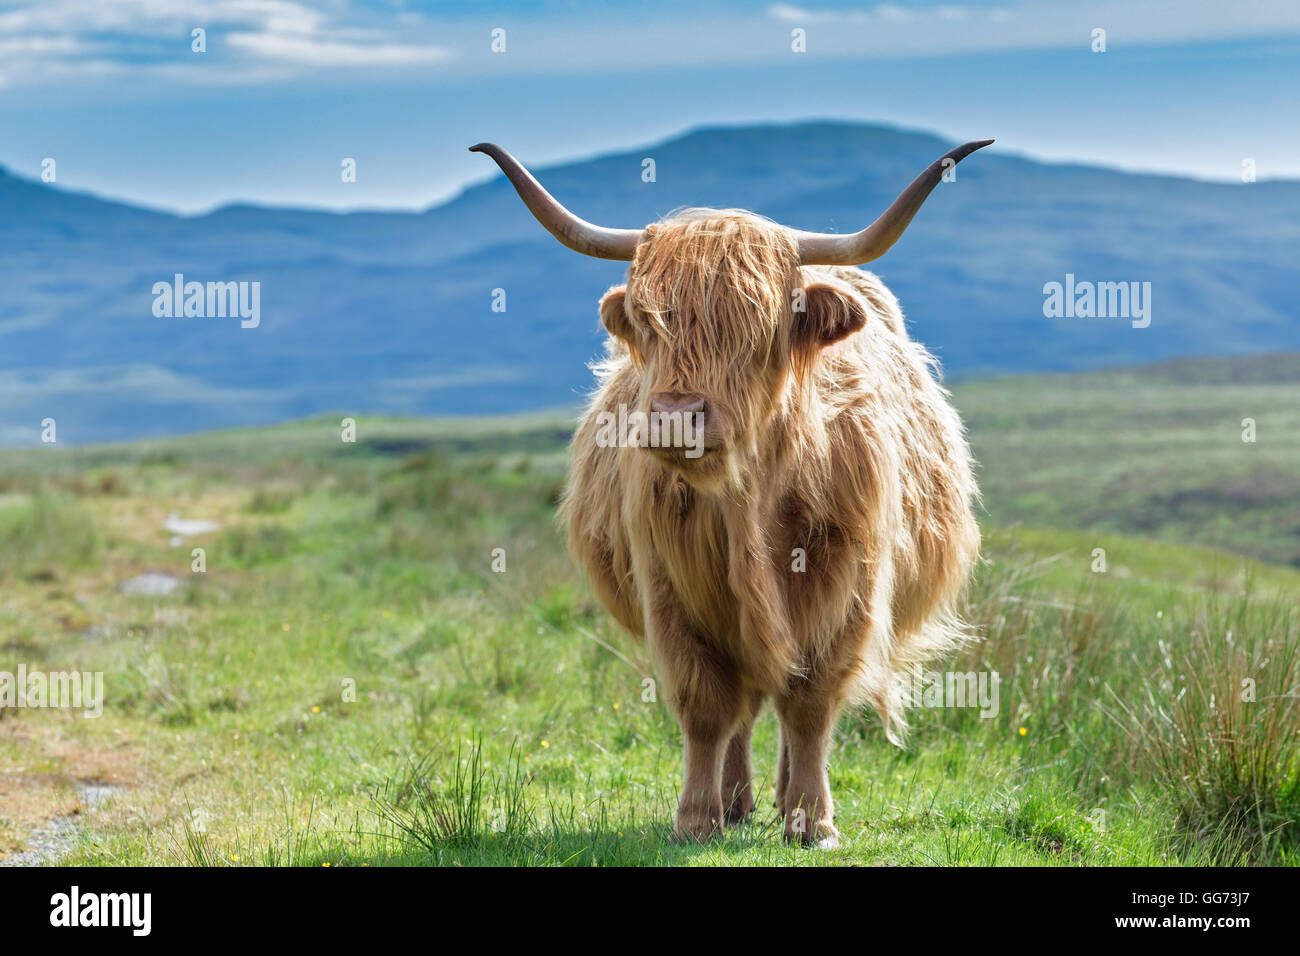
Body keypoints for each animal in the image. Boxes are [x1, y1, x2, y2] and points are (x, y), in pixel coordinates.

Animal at [471, 138, 990, 847]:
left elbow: (810, 704)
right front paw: (696, 817)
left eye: (755, 325)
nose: (674, 417)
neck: (750, 500)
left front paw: (812, 820)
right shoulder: (671, 588)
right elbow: (708, 705)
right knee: (743, 706)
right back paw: (738, 801)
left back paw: (778, 797)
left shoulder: (846, 589)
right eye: (648, 322)